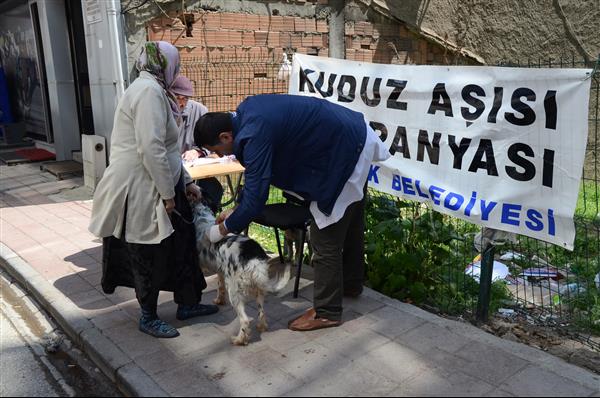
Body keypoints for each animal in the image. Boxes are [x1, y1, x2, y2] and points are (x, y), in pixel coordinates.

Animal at [195, 202, 290, 346]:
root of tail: (253, 259)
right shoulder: (220, 270)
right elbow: (219, 286)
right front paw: (219, 300)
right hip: (259, 289)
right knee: (261, 312)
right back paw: (261, 327)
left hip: (234, 292)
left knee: (244, 320)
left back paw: (239, 339)